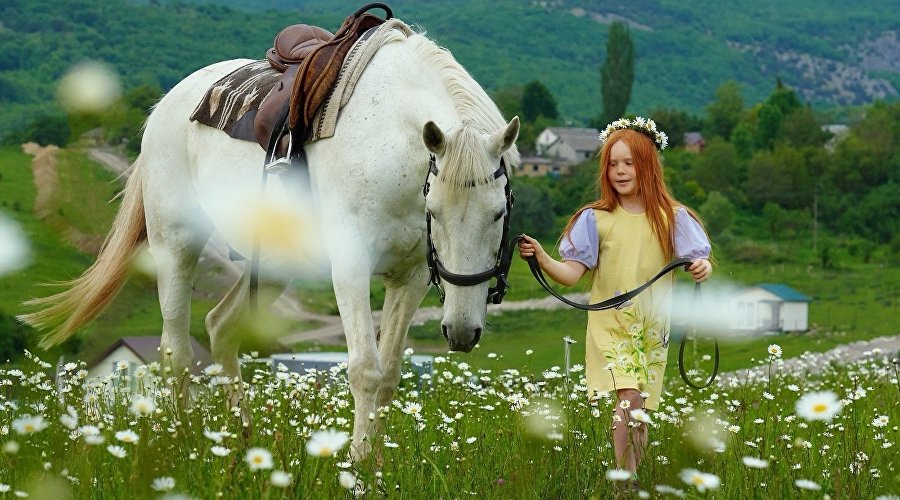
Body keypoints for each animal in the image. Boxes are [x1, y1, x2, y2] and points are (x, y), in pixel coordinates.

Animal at [21, 26, 520, 458]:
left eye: (498, 214)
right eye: (435, 211)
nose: (462, 332)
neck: (389, 144)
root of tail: (165, 107)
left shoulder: (411, 277)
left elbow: (390, 375)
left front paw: (378, 464)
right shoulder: (351, 267)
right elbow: (365, 369)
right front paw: (358, 470)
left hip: (277, 264)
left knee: (221, 327)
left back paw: (240, 442)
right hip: (175, 245)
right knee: (176, 350)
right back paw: (188, 446)